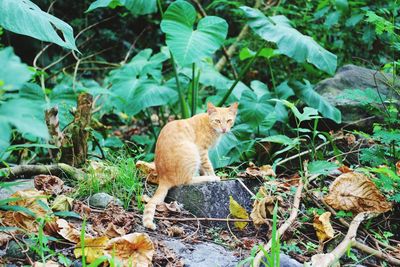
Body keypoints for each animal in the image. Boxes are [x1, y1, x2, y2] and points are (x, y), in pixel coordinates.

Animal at [143, 102, 238, 230]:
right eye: (217, 121)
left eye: (229, 120)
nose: (224, 129)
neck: (209, 125)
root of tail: (163, 178)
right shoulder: (201, 151)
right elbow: (208, 165)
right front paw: (213, 175)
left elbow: (203, 167)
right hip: (192, 151)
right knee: (187, 181)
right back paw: (210, 178)